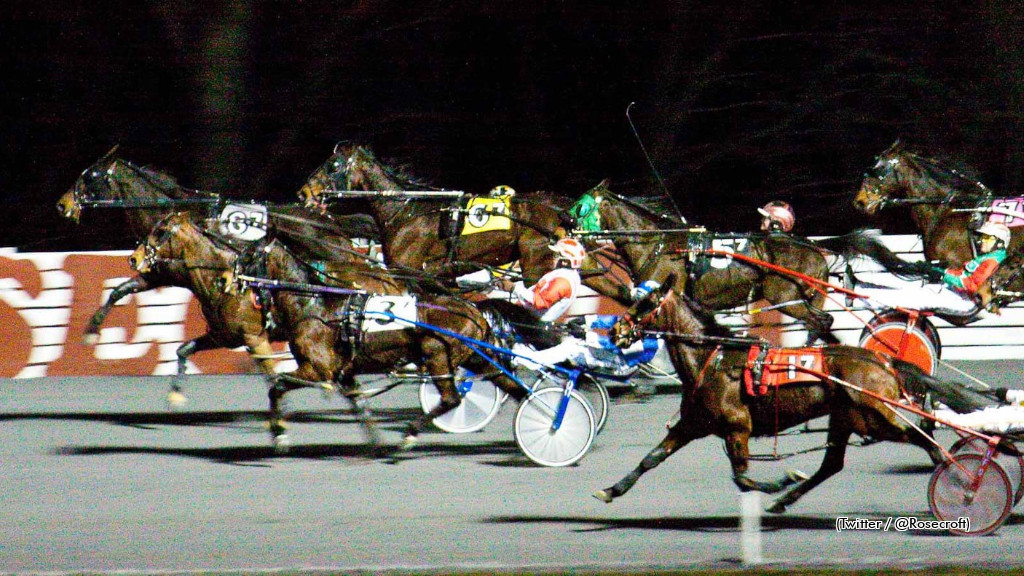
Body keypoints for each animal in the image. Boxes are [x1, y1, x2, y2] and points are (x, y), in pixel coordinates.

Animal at [593, 272, 942, 510]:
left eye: (646, 303)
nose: (615, 330)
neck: (712, 358)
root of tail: (884, 361)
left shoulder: (737, 426)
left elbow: (743, 479)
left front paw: (780, 481)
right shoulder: (694, 423)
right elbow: (651, 458)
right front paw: (610, 490)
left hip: (872, 417)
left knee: (921, 436)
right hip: (847, 417)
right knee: (831, 465)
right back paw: (785, 501)